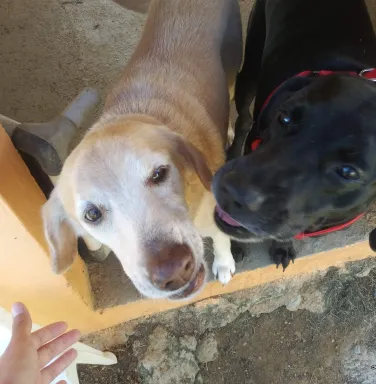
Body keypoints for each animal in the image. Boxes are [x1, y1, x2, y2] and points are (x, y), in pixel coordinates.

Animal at [213, 0, 376, 270]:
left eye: (348, 172)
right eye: (285, 117)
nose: (230, 190)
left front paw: (282, 246)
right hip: (250, 67)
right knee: (243, 119)